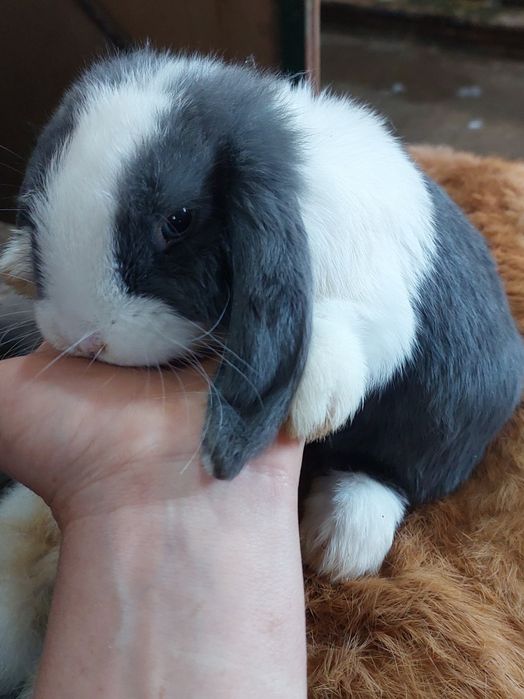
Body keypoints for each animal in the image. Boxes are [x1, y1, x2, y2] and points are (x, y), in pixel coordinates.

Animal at [0, 48, 522, 697]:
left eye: (178, 220)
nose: (86, 338)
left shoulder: (373, 299)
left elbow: (350, 328)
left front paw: (312, 397)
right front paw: (15, 263)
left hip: (447, 423)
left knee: (399, 475)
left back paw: (338, 539)